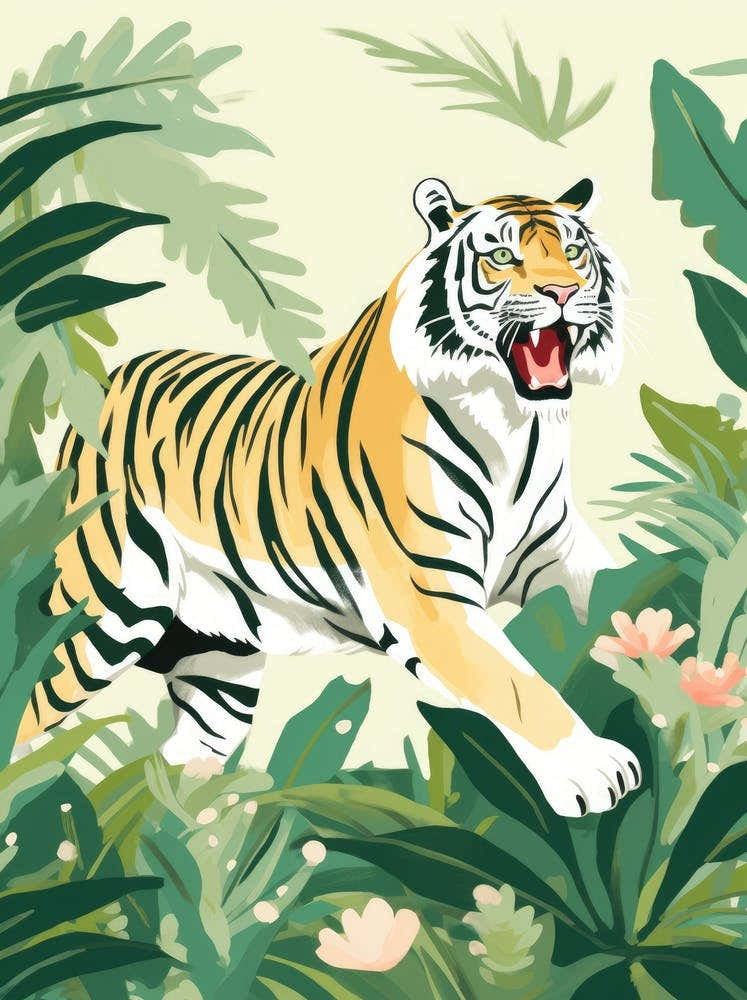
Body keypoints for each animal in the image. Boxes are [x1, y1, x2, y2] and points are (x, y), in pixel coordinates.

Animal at [15, 176, 641, 817]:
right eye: (502, 255)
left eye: (574, 253)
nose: (563, 291)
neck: (514, 421)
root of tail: (105, 386)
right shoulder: (427, 594)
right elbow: (511, 683)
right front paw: (593, 768)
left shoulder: (558, 553)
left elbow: (624, 593)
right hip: (102, 614)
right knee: (28, 704)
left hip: (220, 666)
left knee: (178, 767)